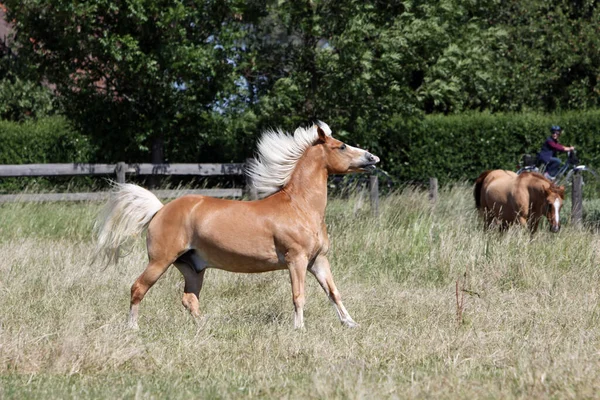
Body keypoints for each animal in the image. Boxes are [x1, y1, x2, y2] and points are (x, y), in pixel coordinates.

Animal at [96, 122, 382, 328]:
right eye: (341, 146)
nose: (373, 158)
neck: (299, 207)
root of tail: (159, 210)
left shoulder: (318, 260)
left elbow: (334, 292)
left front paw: (351, 324)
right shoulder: (297, 260)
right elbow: (299, 295)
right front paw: (299, 329)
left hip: (193, 268)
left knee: (189, 299)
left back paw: (207, 327)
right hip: (160, 260)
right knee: (138, 288)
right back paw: (133, 328)